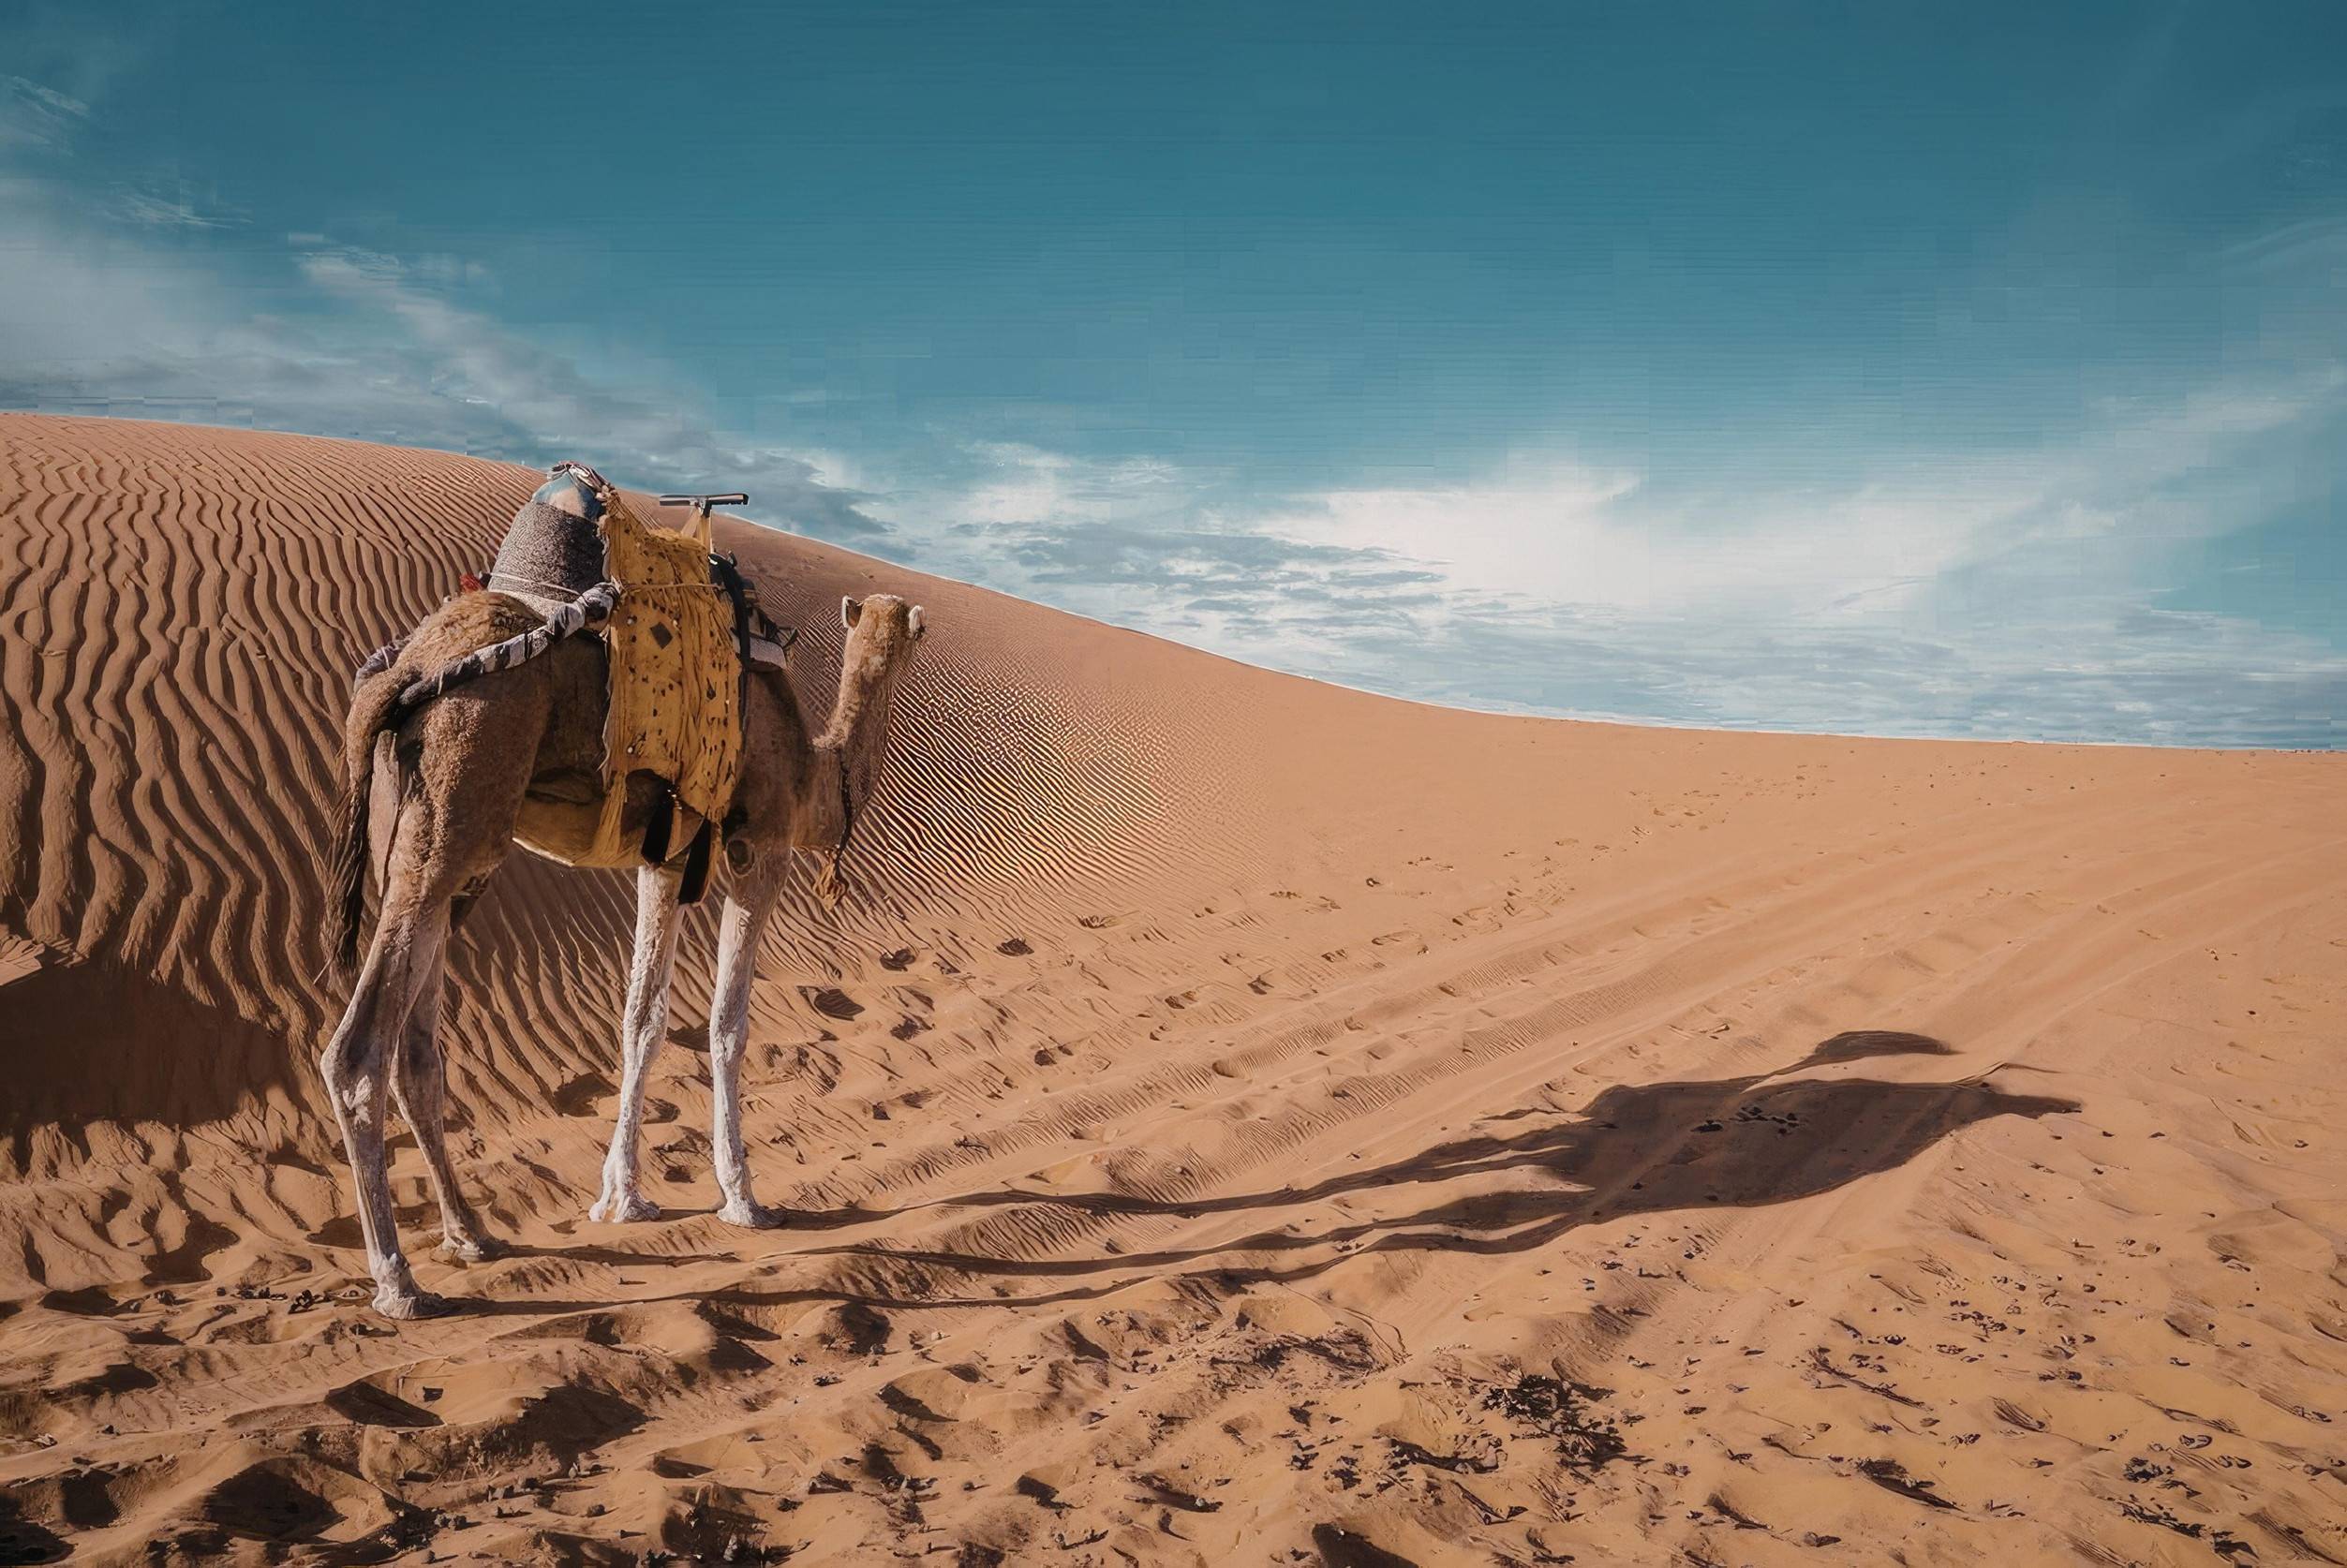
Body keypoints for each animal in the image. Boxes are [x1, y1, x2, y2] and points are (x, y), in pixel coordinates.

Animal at [322, 588, 926, 1317]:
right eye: (918, 633)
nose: (910, 631)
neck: (816, 776)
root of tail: (406, 669)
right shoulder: (763, 848)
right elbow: (727, 1024)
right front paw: (743, 1198)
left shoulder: (663, 862)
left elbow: (643, 1020)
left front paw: (621, 1196)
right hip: (456, 802)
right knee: (357, 1052)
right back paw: (398, 1281)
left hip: (422, 846)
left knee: (417, 1054)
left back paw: (471, 1235)